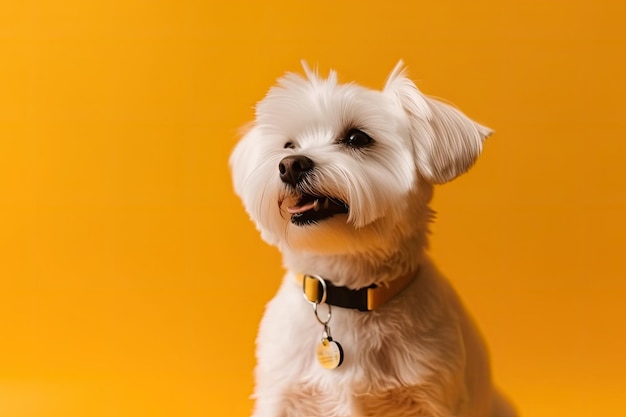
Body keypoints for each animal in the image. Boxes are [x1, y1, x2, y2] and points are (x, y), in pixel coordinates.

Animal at [228, 61, 512, 416]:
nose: (290, 165)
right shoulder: (281, 392)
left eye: (357, 137)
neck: (348, 293)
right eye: (288, 146)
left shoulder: (432, 394)